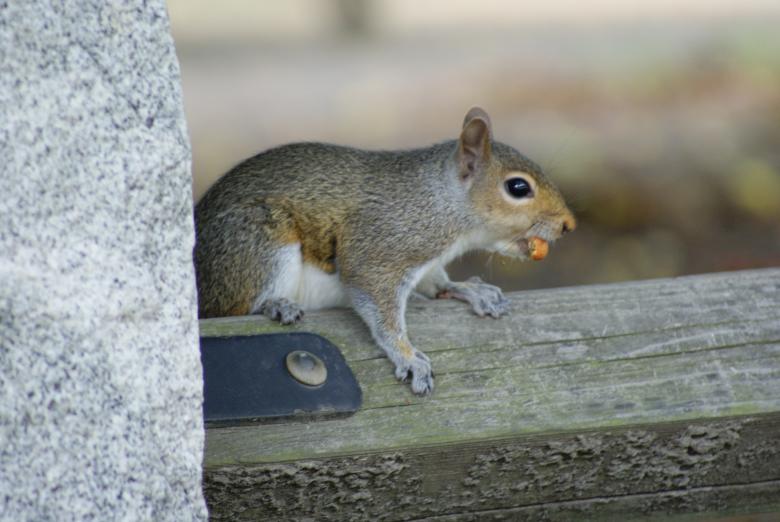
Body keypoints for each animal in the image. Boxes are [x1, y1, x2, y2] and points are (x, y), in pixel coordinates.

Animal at [194, 107, 575, 395]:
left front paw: (467, 289)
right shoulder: (381, 249)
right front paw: (406, 355)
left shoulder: (427, 261)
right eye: (518, 187)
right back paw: (275, 304)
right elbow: (378, 305)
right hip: (259, 243)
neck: (441, 206)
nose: (568, 225)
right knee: (233, 306)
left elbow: (436, 283)